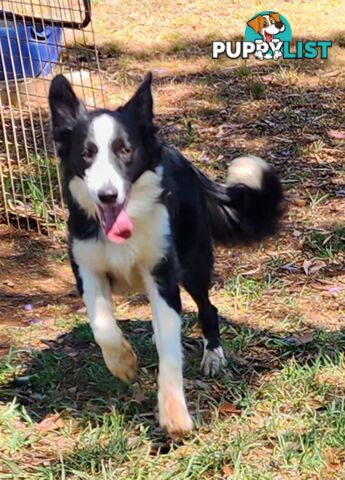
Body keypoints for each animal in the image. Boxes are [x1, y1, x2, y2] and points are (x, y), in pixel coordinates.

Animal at [48, 73, 282, 436]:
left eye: (125, 151)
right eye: (86, 154)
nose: (107, 195)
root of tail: (187, 163)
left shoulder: (163, 277)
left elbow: (169, 349)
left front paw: (174, 414)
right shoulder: (86, 268)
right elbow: (102, 325)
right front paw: (123, 363)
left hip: (194, 264)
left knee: (209, 308)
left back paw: (214, 355)